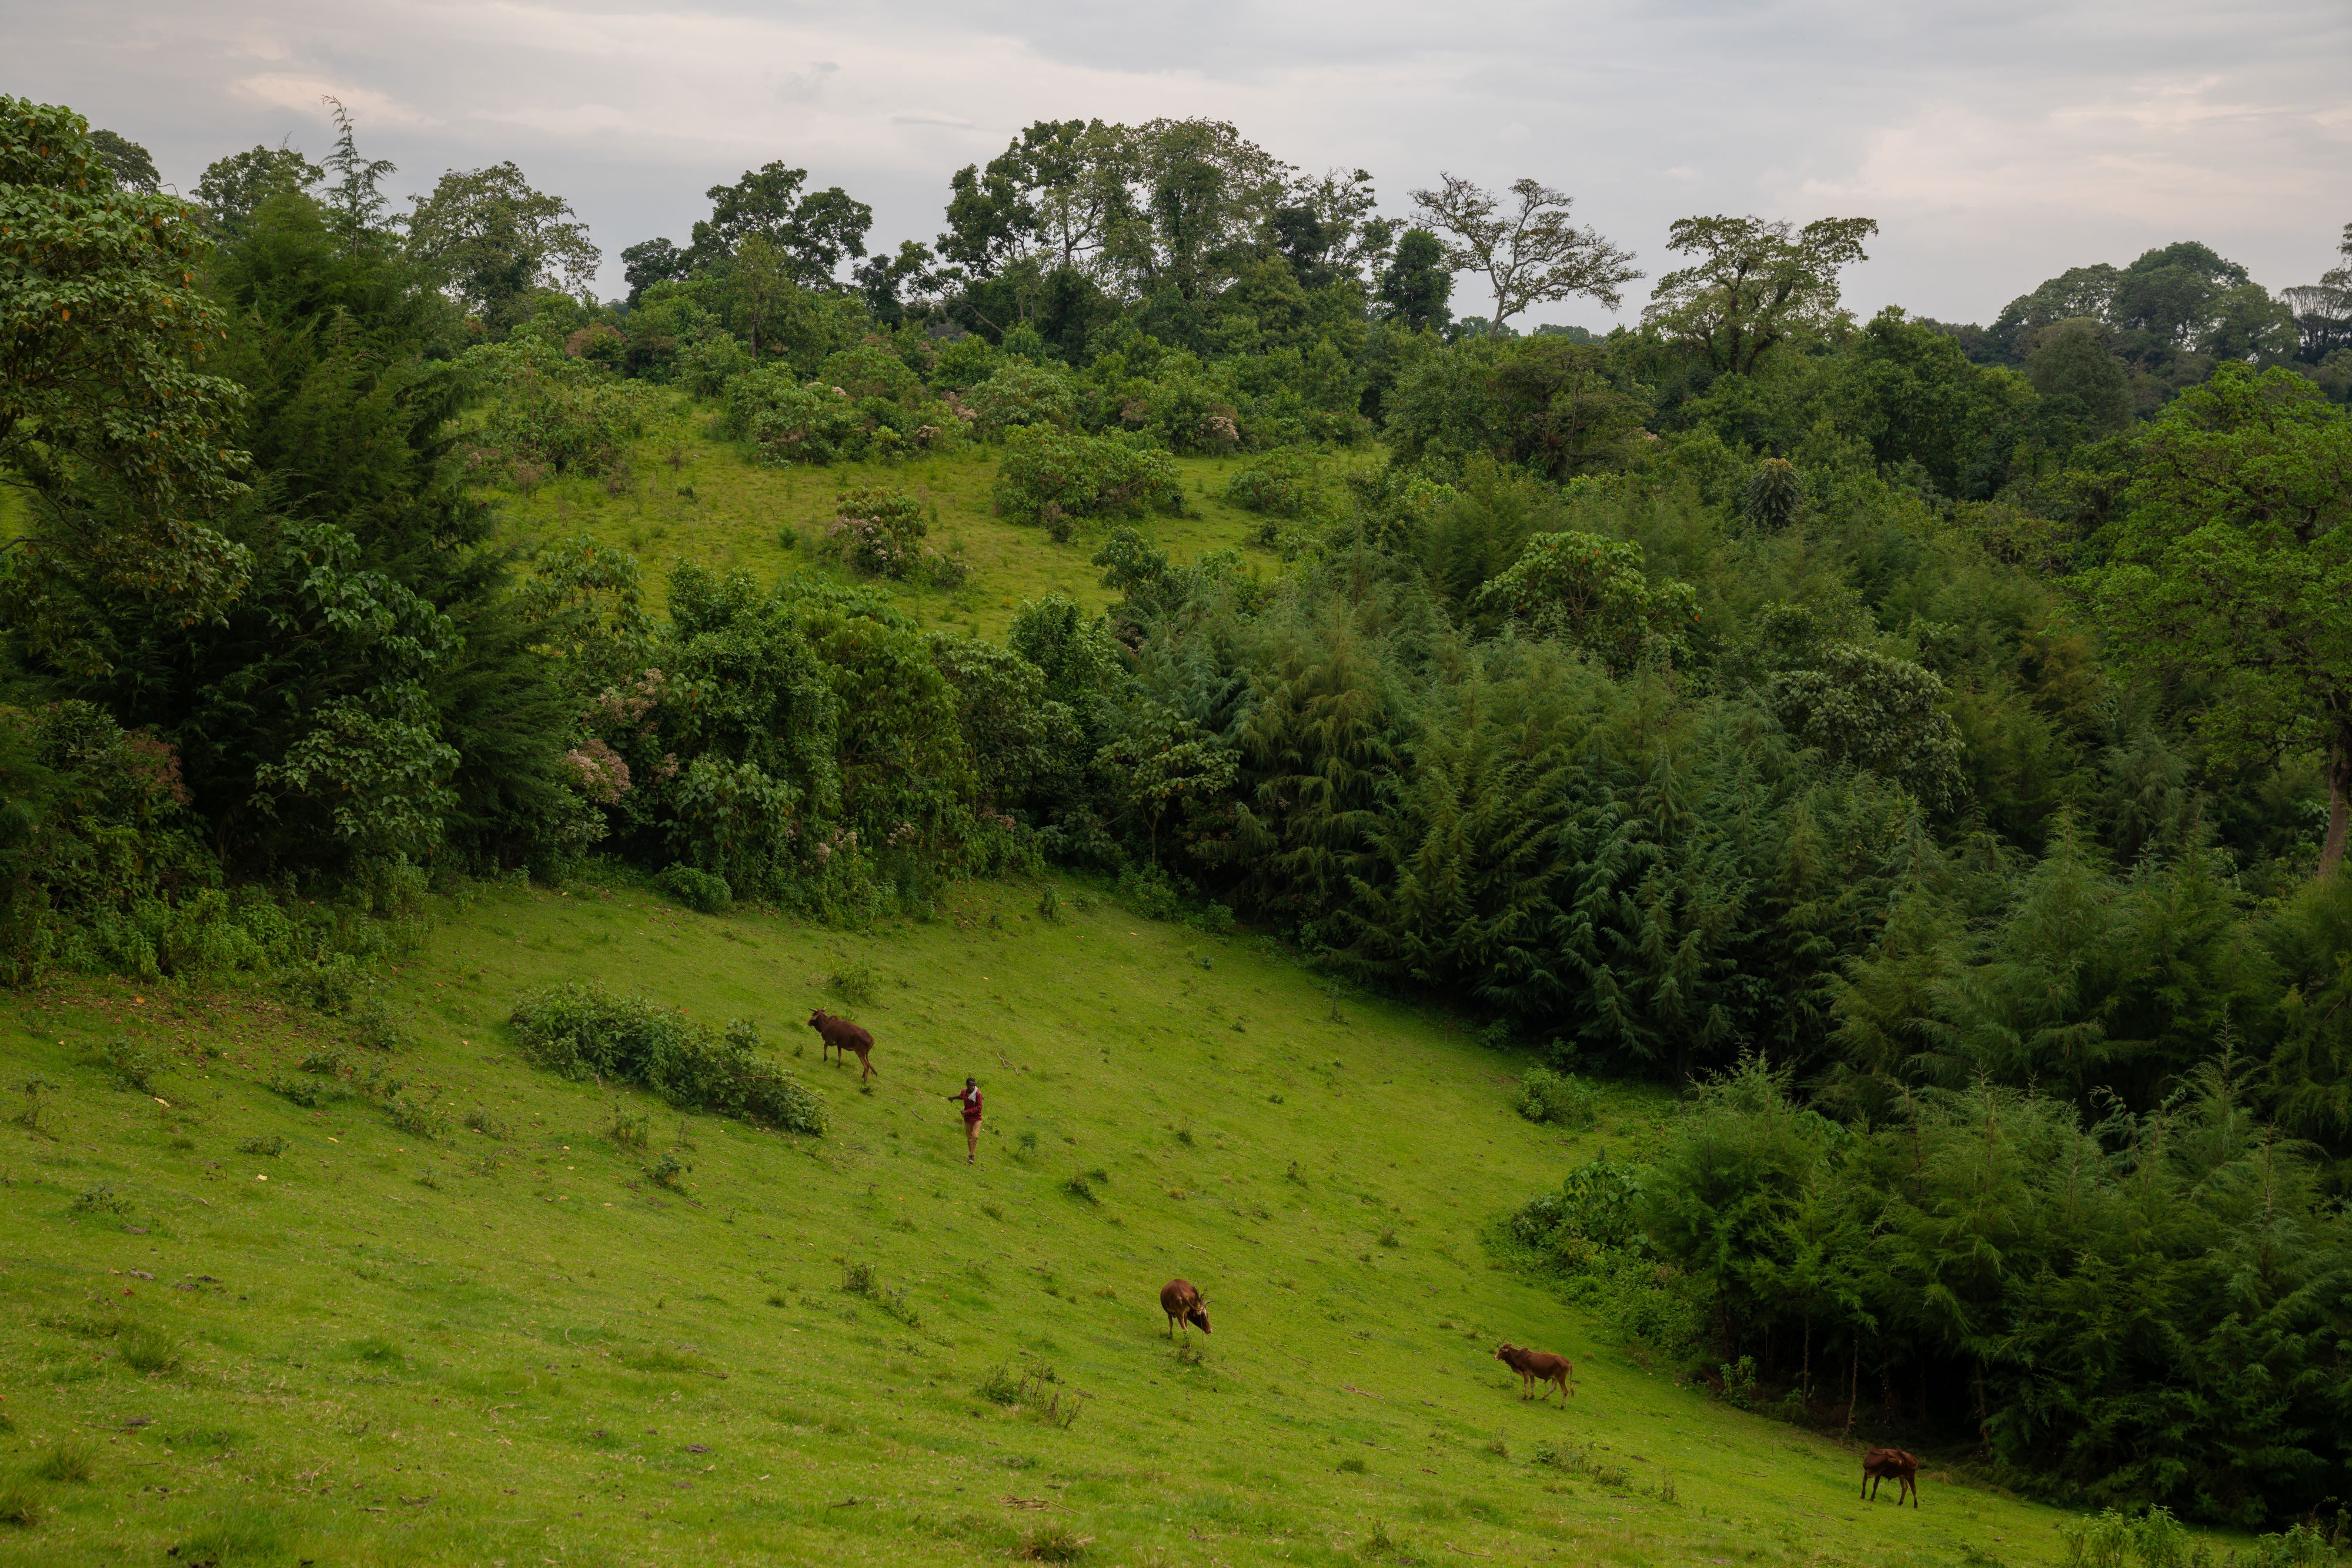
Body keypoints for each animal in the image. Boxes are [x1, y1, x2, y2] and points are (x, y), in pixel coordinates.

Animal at [809, 1011, 884, 1086]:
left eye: (814, 1015)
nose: (808, 1022)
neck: (827, 1023)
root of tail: (871, 1039)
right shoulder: (839, 1044)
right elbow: (839, 1054)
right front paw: (839, 1066)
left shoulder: (829, 1040)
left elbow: (825, 1047)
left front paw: (825, 1058)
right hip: (865, 1054)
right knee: (868, 1064)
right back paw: (863, 1076)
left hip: (860, 1053)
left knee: (866, 1065)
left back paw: (865, 1081)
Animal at [1496, 1345, 1571, 1401]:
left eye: (1501, 1351)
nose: (1495, 1357)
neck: (1519, 1356)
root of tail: (1568, 1363)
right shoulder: (1532, 1374)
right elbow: (1532, 1384)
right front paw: (1532, 1396)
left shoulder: (1526, 1372)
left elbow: (1526, 1384)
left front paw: (1525, 1396)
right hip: (1555, 1378)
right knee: (1553, 1388)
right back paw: (1543, 1397)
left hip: (1561, 1379)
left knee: (1565, 1391)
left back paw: (1562, 1406)